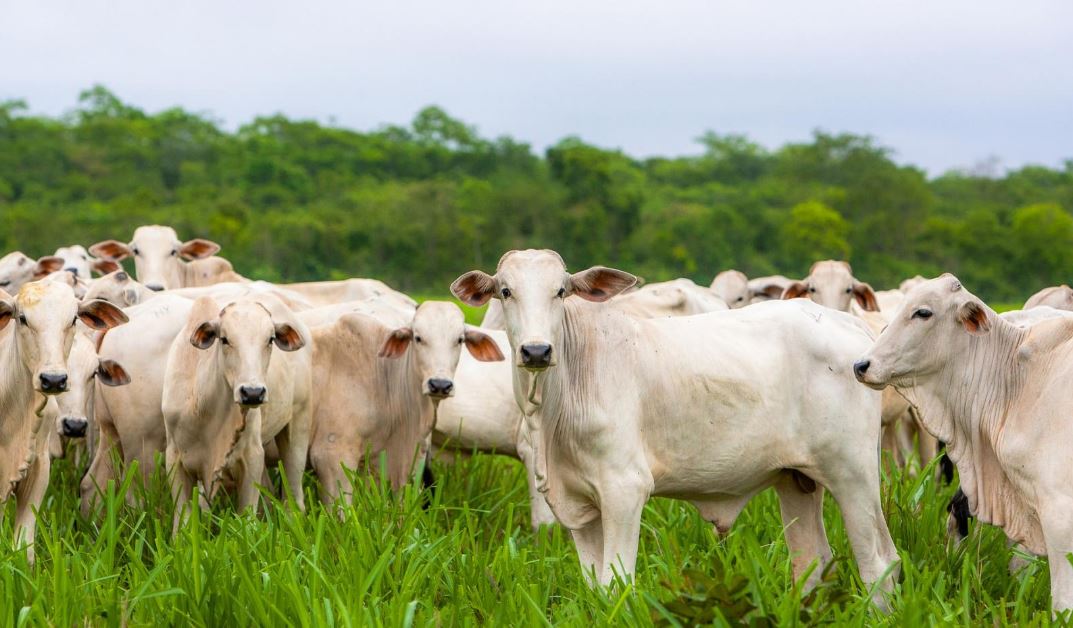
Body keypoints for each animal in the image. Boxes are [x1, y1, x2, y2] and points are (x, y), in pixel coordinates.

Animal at [163, 294, 313, 528]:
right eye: (224, 339)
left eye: (270, 339)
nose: (252, 393)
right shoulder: (174, 458)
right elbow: (184, 520)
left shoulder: (252, 457)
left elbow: (247, 518)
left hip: (298, 423)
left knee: (294, 497)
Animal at [450, 245, 897, 601]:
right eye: (505, 291)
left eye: (560, 291)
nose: (537, 350)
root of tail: (849, 324)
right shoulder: (578, 504)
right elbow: (595, 586)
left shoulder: (624, 489)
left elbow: (616, 582)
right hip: (796, 480)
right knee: (812, 563)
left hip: (853, 474)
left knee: (879, 561)